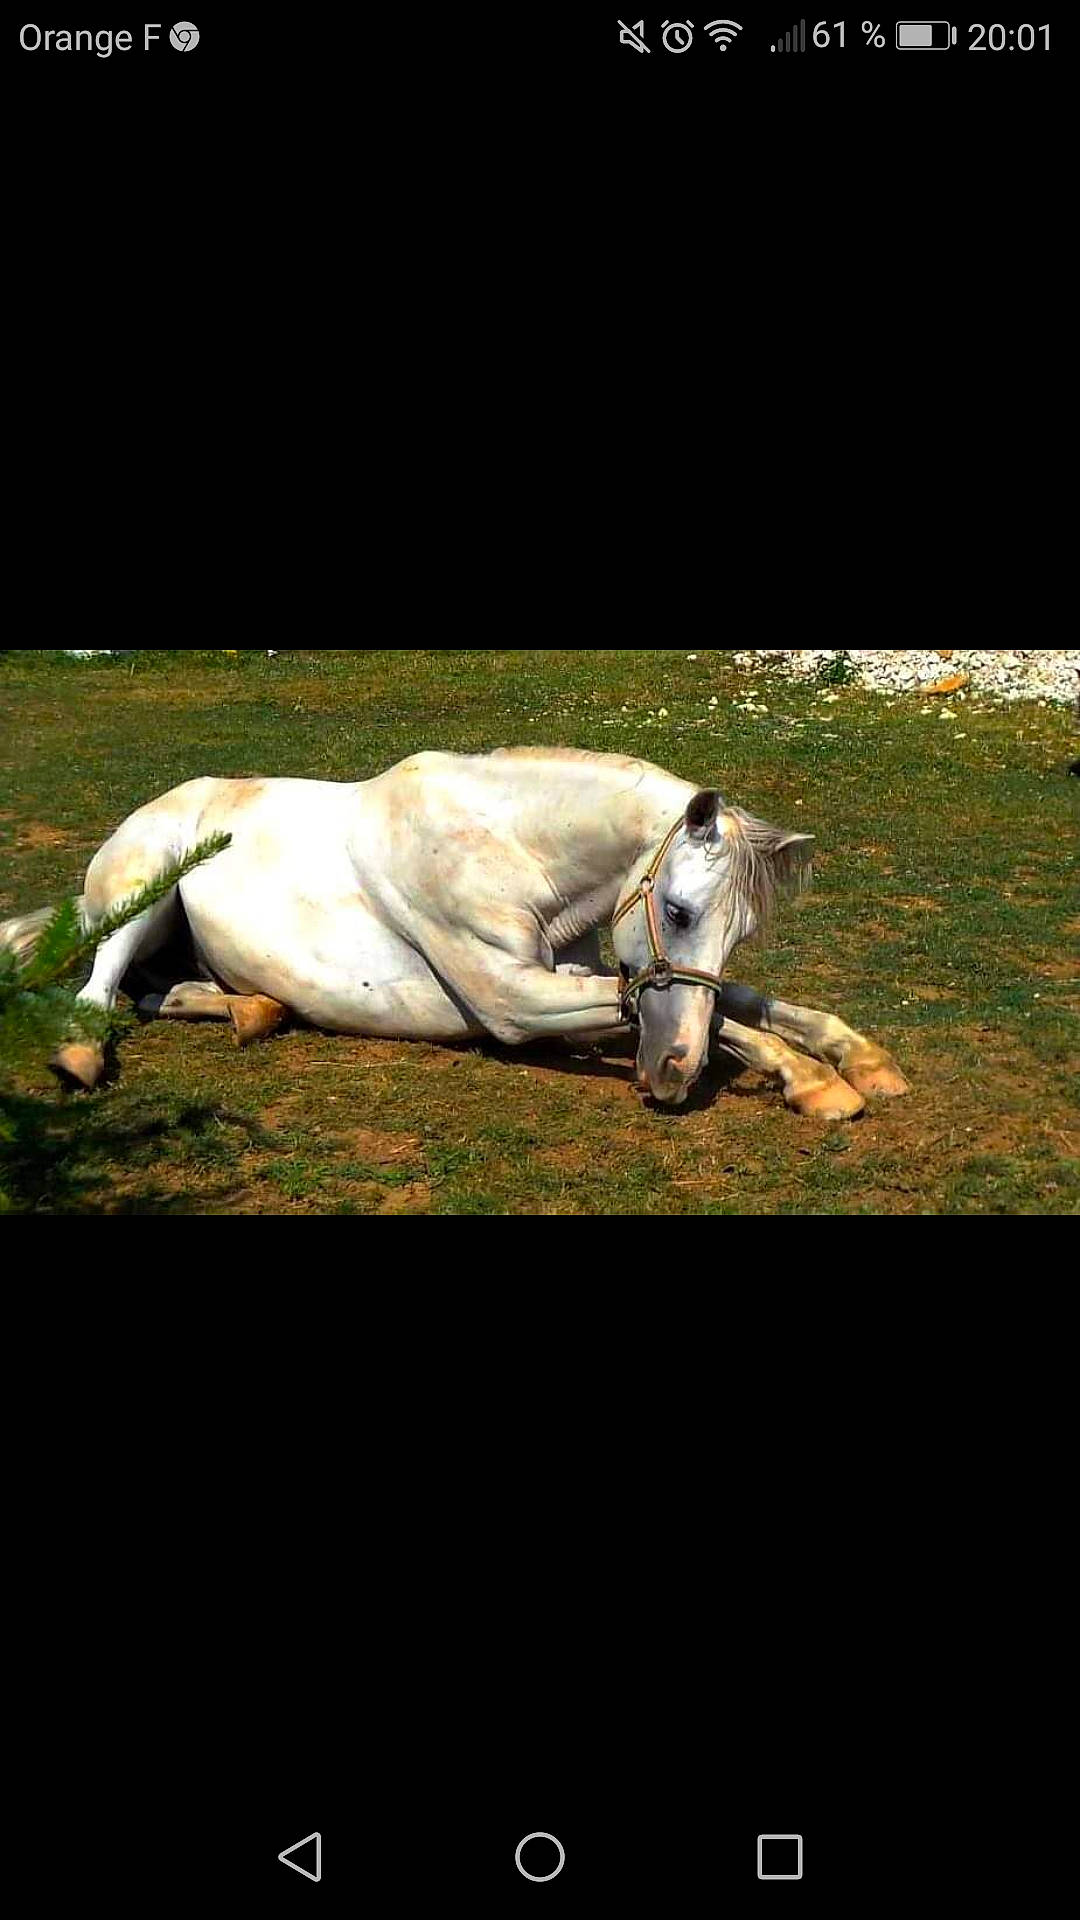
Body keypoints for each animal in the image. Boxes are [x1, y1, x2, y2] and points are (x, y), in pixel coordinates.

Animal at [0, 747, 910, 1116]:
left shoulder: (583, 972)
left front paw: (855, 1060)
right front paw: (818, 1082)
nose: (671, 1076)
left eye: (736, 936)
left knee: (156, 992)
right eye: (679, 913)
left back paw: (256, 1011)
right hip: (140, 888)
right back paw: (79, 1054)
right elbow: (704, 1017)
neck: (511, 849)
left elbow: (736, 1005)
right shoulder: (515, 1001)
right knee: (100, 988)